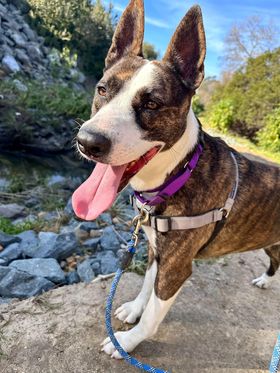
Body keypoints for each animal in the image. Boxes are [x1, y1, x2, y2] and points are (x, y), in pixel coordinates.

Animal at [71, 0, 278, 360]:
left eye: (152, 104)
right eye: (102, 90)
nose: (88, 142)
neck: (179, 173)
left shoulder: (177, 267)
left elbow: (154, 316)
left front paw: (127, 341)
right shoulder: (158, 250)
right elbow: (147, 287)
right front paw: (134, 309)